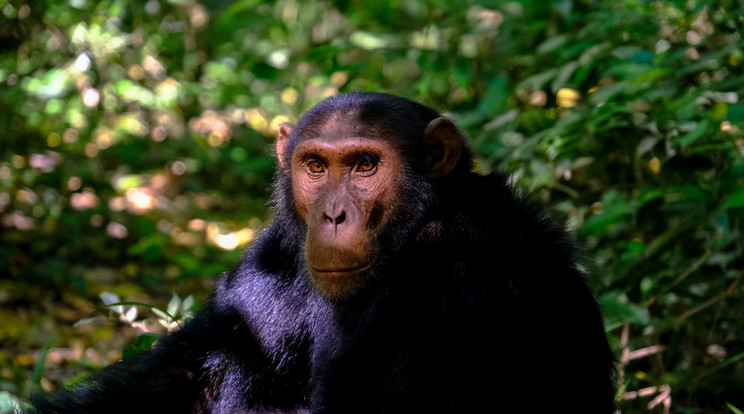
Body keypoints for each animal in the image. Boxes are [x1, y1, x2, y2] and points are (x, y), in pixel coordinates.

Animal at [32, 92, 616, 412]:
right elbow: (184, 380)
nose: (333, 214)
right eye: (315, 166)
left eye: (365, 165)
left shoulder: (459, 262)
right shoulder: (274, 255)